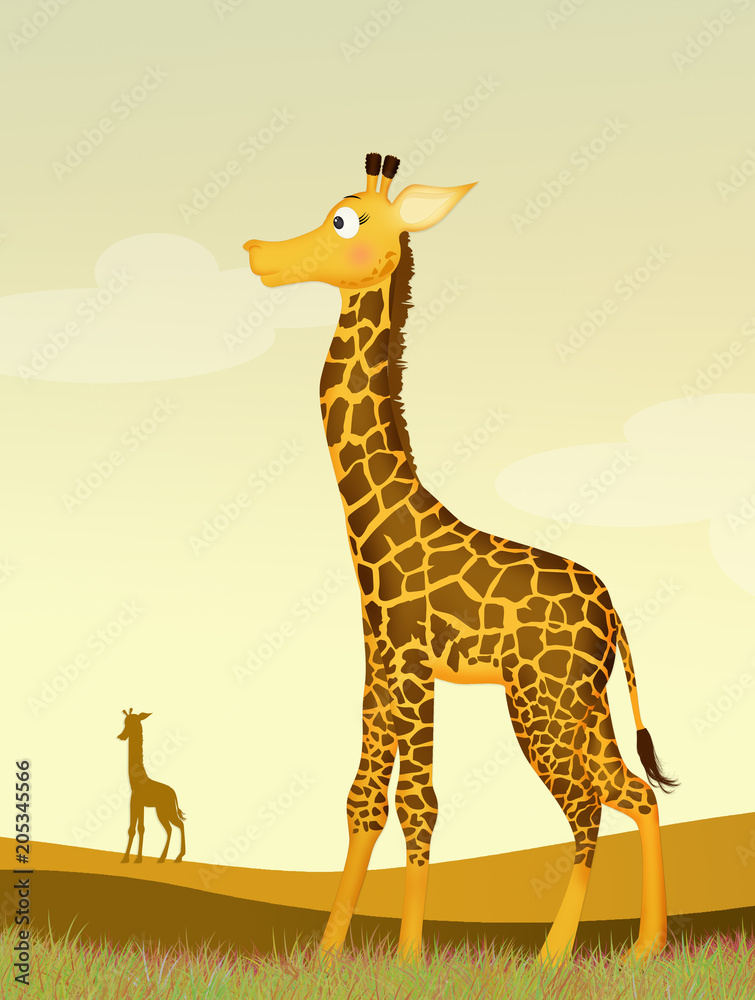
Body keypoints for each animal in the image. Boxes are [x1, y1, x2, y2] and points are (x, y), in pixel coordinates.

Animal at [117, 709, 186, 864]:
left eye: (131, 724)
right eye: (125, 722)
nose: (121, 736)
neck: (137, 782)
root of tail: (174, 794)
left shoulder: (135, 802)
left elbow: (134, 828)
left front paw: (127, 858)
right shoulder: (140, 805)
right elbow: (140, 828)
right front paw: (137, 858)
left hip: (166, 810)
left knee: (179, 825)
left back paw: (178, 857)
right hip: (161, 811)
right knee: (170, 828)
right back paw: (162, 858)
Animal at [243, 152, 678, 965]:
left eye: (342, 219)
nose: (257, 252)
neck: (378, 527)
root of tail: (612, 612)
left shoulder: (414, 669)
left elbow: (420, 804)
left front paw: (409, 958)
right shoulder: (378, 670)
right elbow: (362, 800)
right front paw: (327, 954)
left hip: (540, 703)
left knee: (586, 807)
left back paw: (553, 957)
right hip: (584, 703)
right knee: (632, 793)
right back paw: (645, 948)